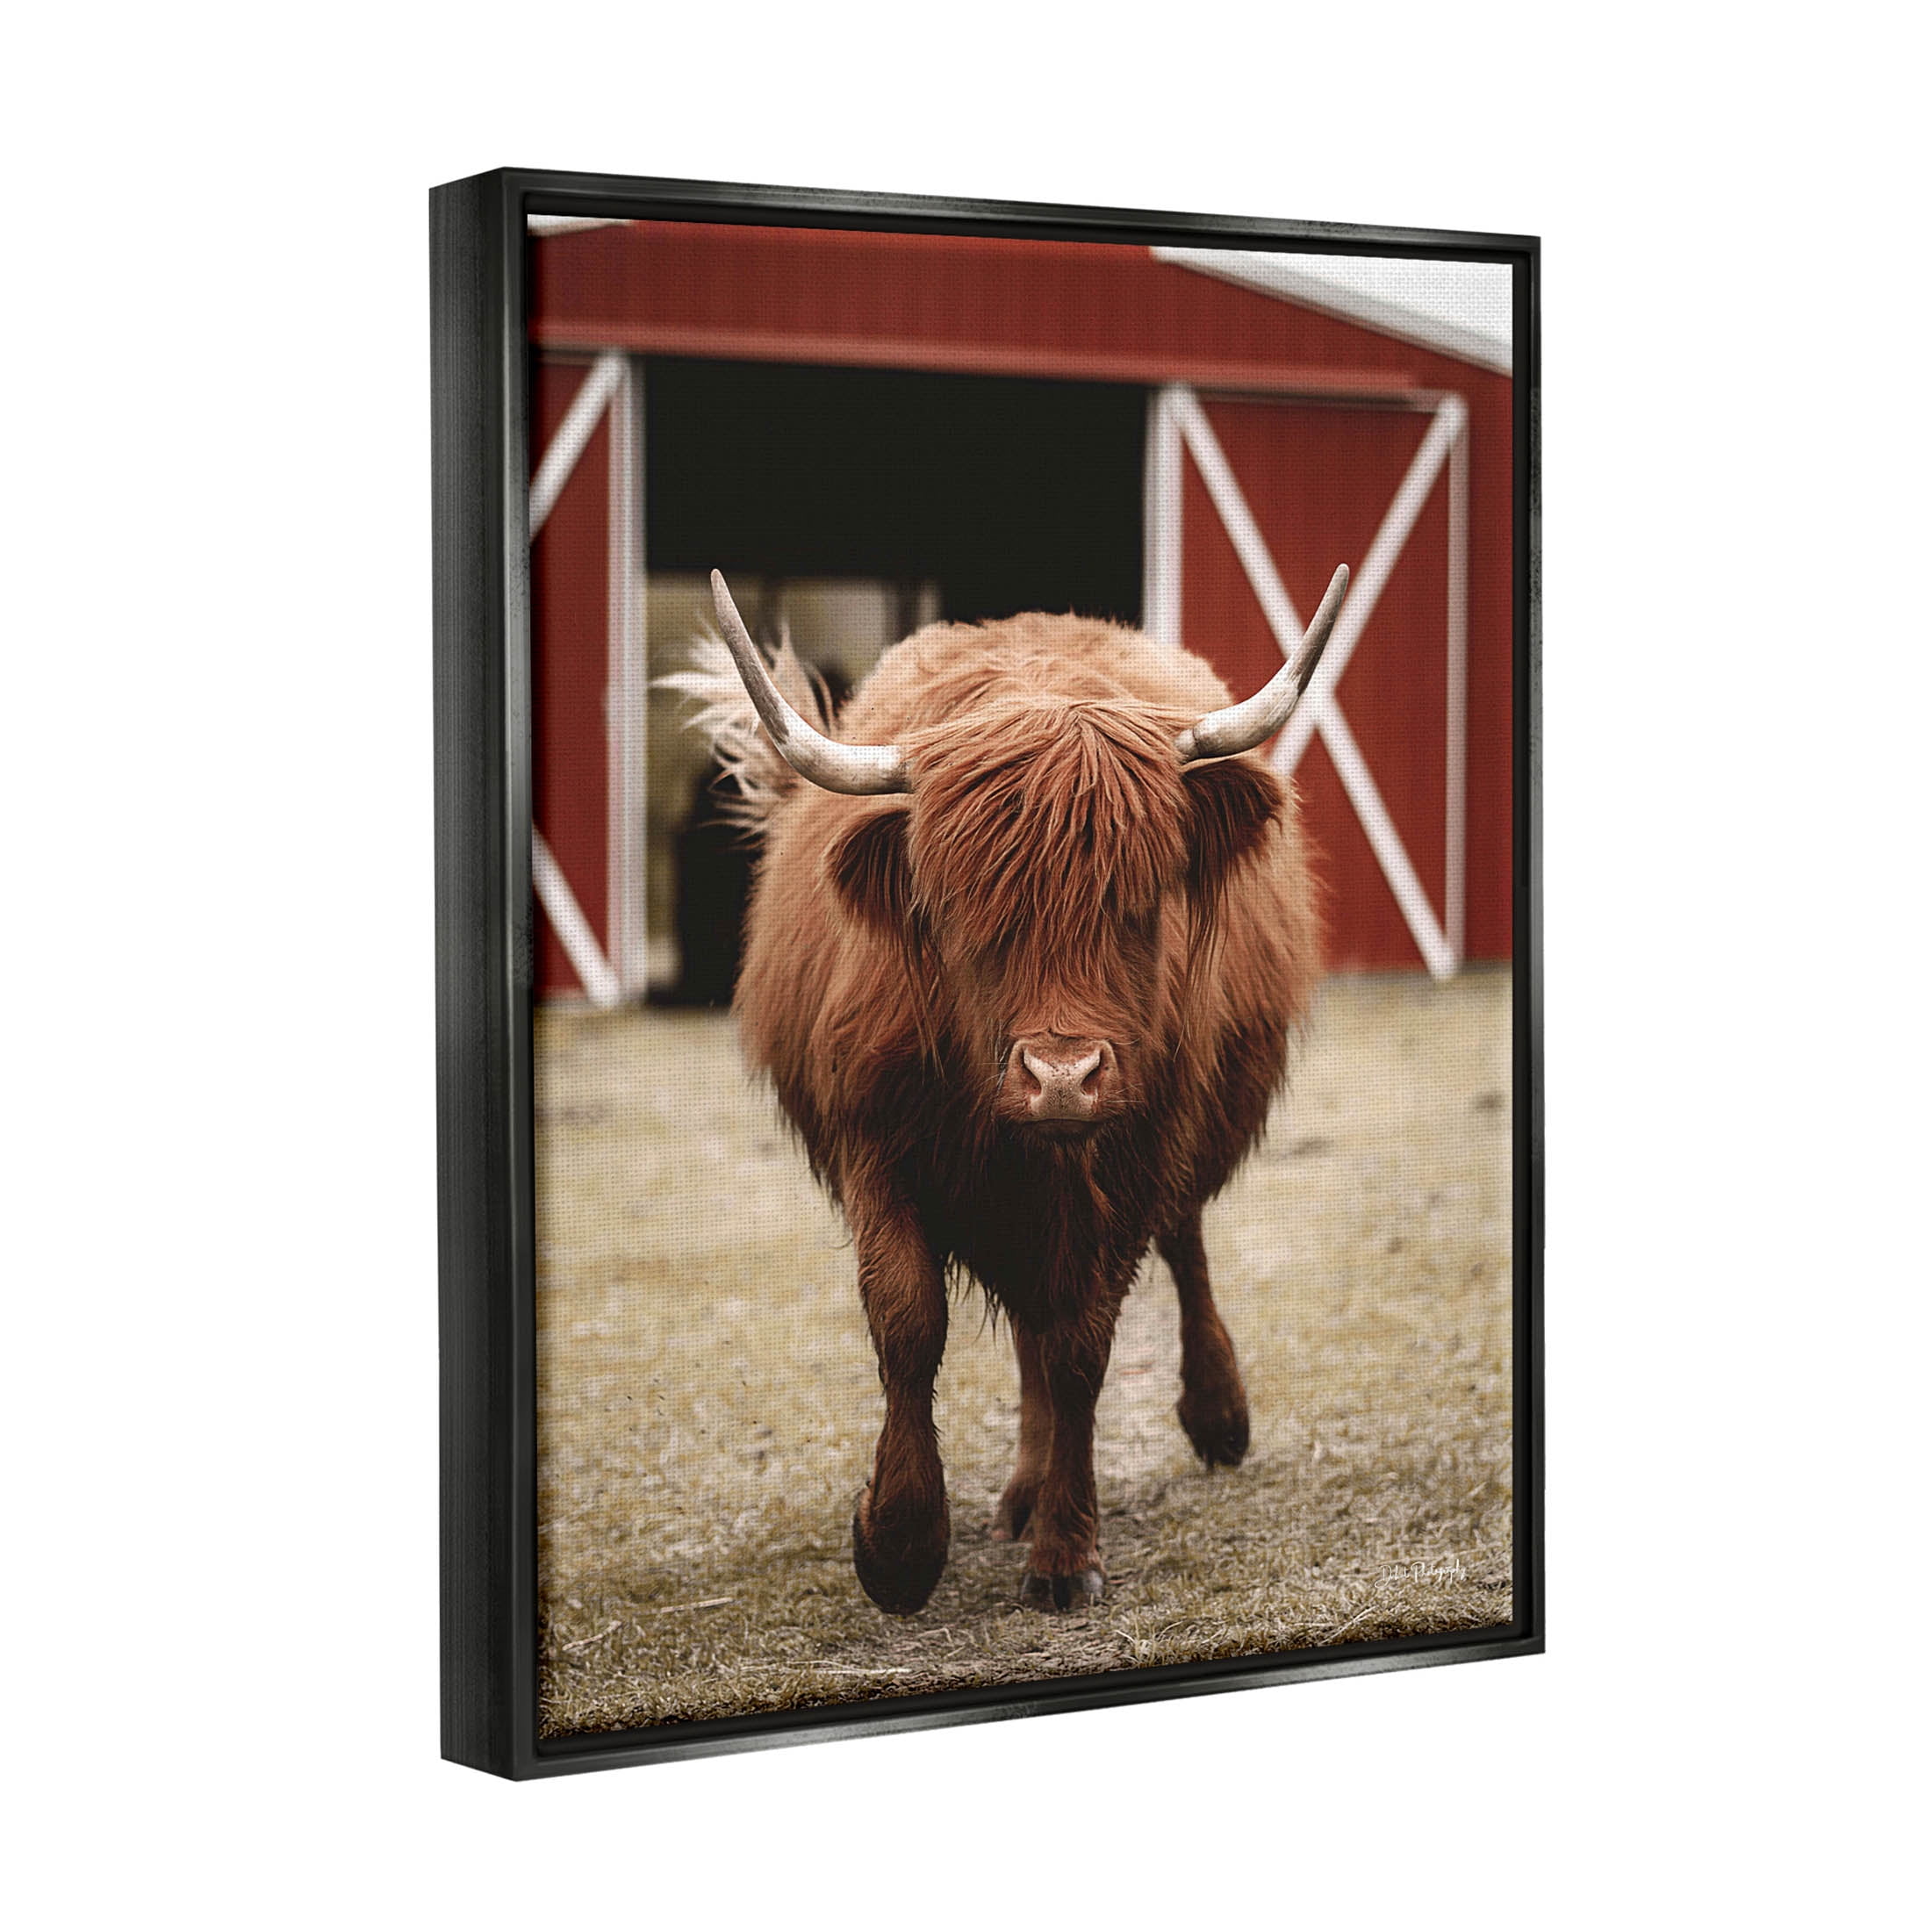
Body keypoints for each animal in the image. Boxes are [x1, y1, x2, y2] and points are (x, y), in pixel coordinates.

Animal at [676, 563, 1346, 1613]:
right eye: (962, 910)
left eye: (1138, 902)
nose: (1061, 1077)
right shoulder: (875, 1140)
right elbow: (910, 1320)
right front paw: (899, 1546)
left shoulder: (1131, 1155)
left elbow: (1081, 1346)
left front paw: (1067, 1555)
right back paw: (1022, 1494)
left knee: (1180, 1246)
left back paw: (1213, 1417)